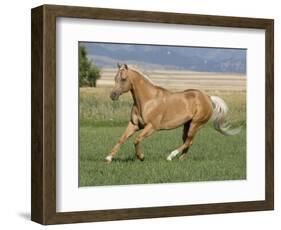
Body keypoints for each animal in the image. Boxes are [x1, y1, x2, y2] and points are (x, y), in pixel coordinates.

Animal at [104, 63, 240, 163]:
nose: (113, 95)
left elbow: (136, 140)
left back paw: (171, 156)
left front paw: (141, 157)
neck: (148, 100)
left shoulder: (151, 127)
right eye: (115, 78)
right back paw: (181, 159)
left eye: (123, 79)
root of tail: (207, 97)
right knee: (188, 141)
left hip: (196, 124)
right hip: (187, 124)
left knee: (188, 141)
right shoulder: (134, 125)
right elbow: (122, 139)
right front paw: (109, 158)